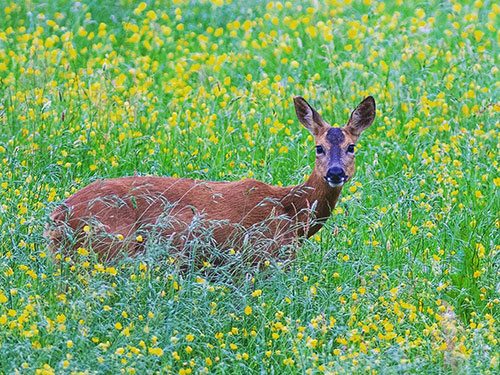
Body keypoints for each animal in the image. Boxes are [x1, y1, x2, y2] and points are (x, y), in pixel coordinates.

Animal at [46, 96, 376, 264]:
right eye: (318, 147)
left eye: (352, 147)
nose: (336, 173)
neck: (291, 211)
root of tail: (57, 216)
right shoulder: (261, 257)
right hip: (111, 248)